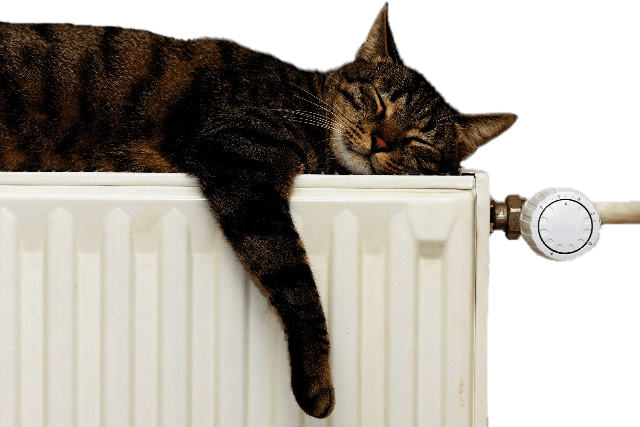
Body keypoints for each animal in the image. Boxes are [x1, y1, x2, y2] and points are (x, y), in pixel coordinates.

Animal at [0, 1, 516, 420]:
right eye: (375, 100)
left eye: (418, 142)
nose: (381, 142)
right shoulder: (240, 155)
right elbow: (295, 280)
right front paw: (316, 384)